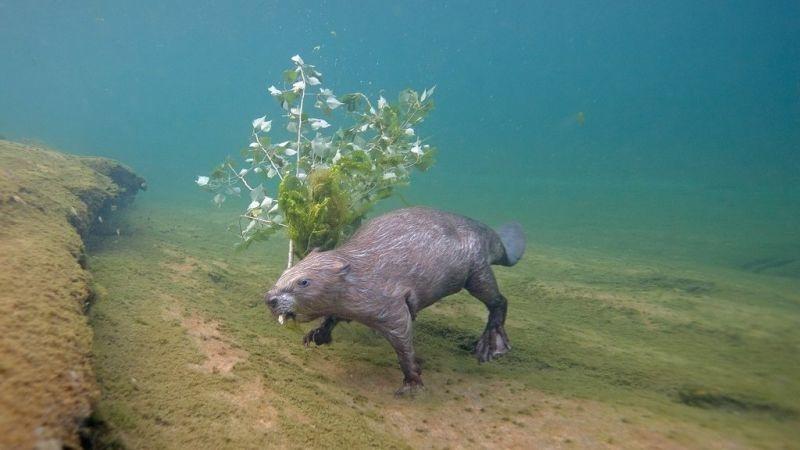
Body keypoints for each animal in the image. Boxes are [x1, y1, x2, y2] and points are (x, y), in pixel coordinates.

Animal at [264, 207, 524, 394]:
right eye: (284, 273)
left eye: (303, 282)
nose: (270, 298)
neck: (361, 270)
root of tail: (496, 239)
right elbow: (334, 316)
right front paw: (316, 335)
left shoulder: (389, 303)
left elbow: (403, 338)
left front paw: (412, 382)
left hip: (476, 271)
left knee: (498, 300)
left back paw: (491, 347)